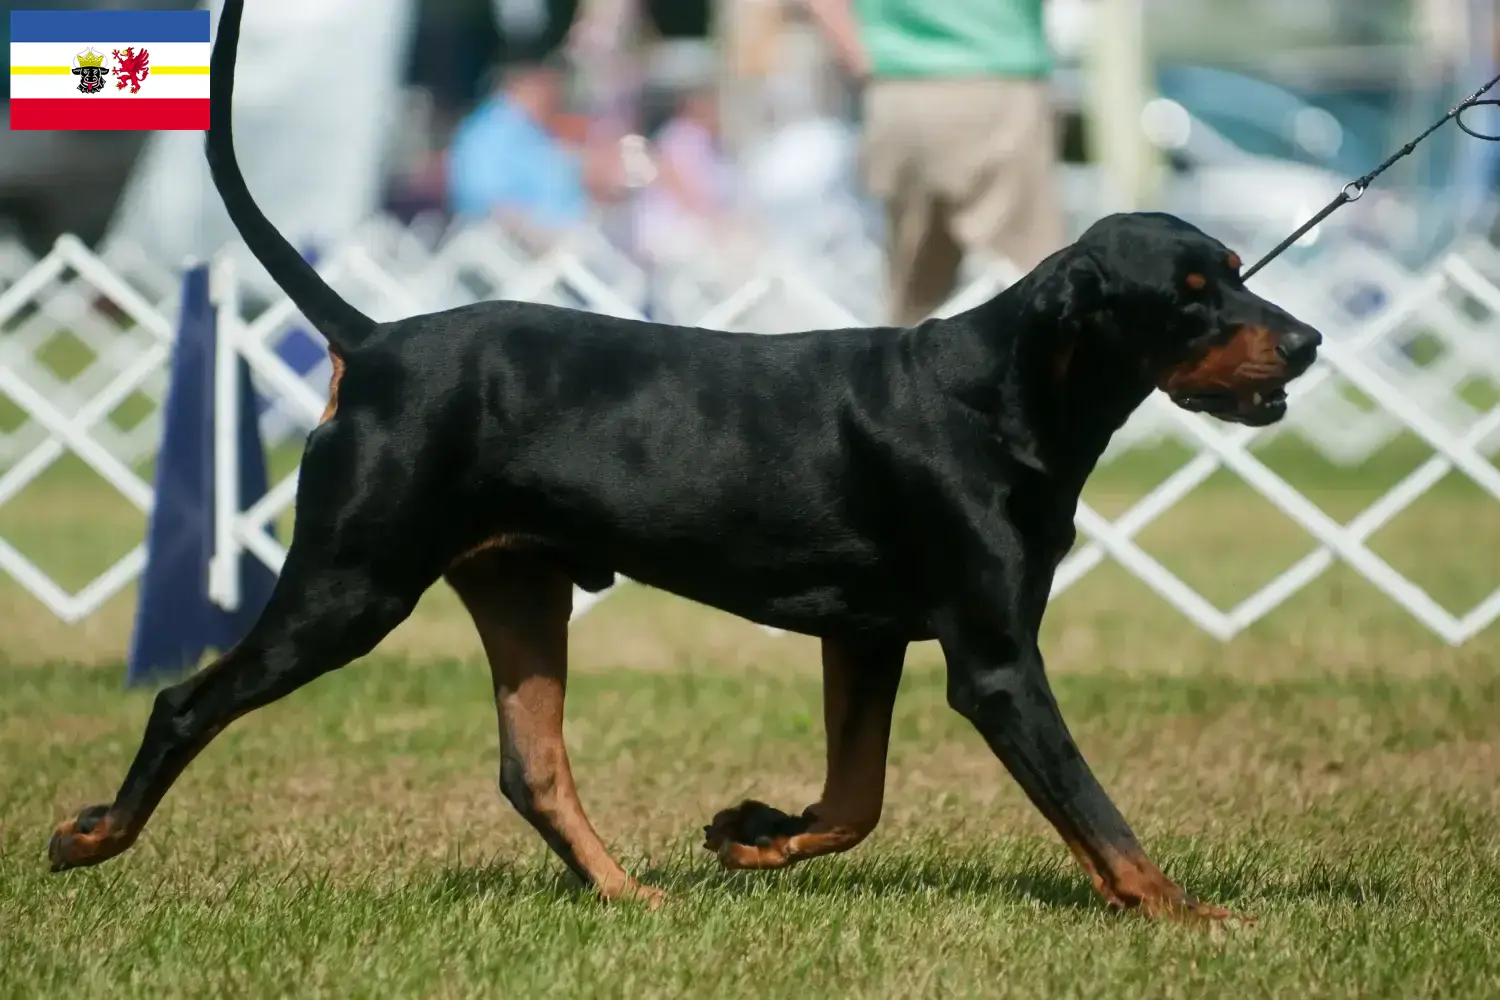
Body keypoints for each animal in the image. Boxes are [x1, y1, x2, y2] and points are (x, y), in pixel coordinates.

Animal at [46, 0, 1320, 923]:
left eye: (1237, 268)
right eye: (1189, 295)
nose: (1307, 339)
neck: (1004, 389)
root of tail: (376, 340)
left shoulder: (865, 635)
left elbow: (857, 797)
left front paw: (751, 832)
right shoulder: (995, 661)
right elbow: (1091, 806)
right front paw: (1185, 910)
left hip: (519, 584)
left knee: (532, 767)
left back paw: (624, 892)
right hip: (350, 583)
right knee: (186, 698)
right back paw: (94, 833)